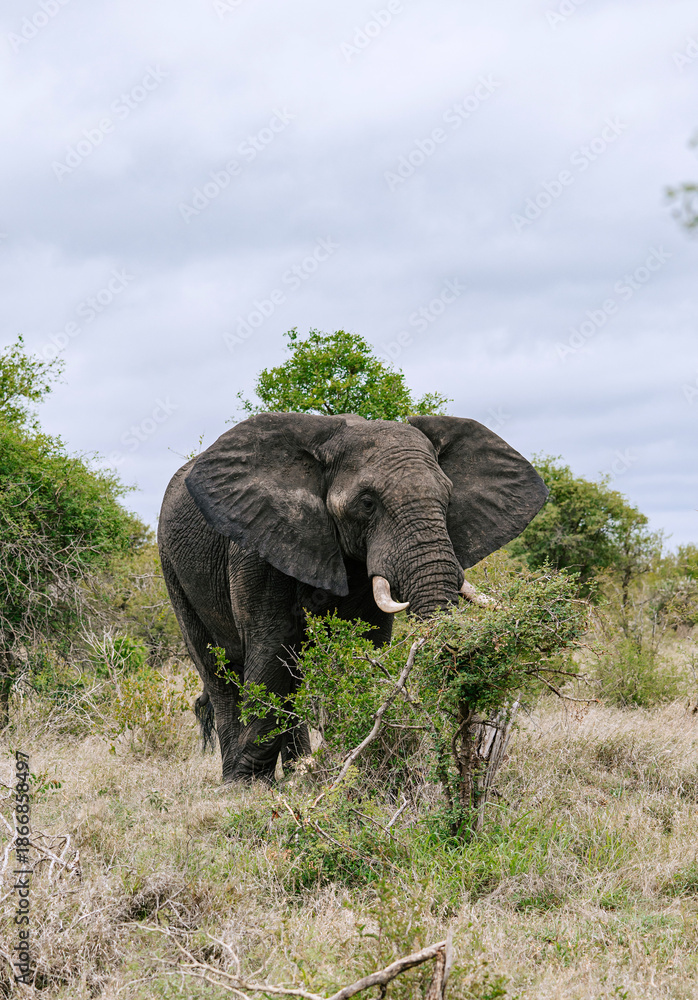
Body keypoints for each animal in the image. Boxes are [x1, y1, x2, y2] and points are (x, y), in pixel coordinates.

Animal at [157, 412, 547, 784]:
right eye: (367, 503)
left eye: (448, 499)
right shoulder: (258, 541)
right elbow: (272, 646)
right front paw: (249, 785)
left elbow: (365, 641)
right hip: (172, 567)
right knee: (217, 672)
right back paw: (236, 778)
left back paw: (299, 770)